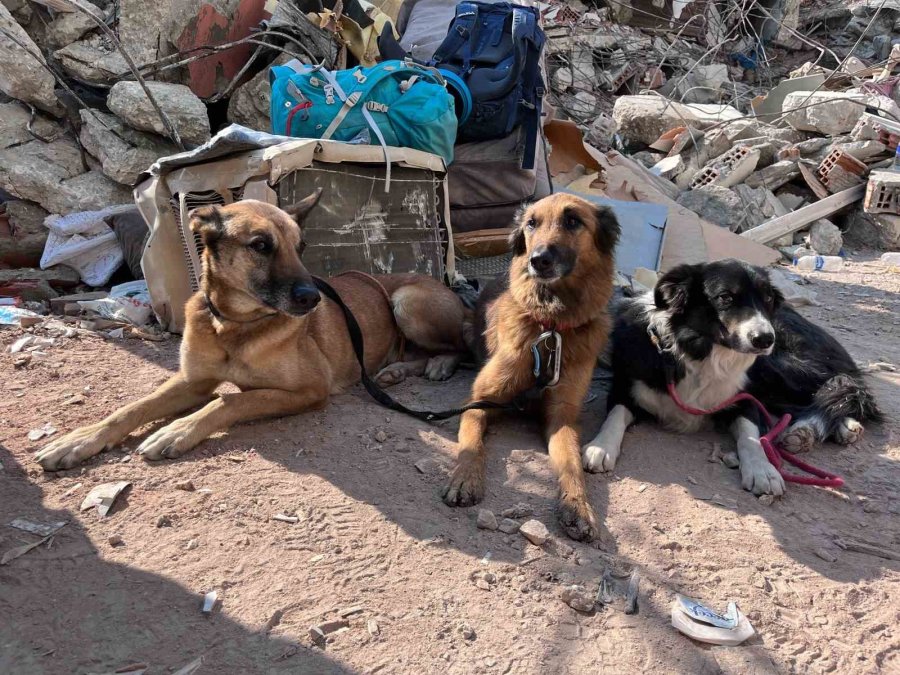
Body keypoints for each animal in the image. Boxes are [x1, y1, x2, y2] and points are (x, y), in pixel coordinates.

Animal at [37, 191, 472, 470]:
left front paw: (178, 430)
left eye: (301, 246)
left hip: (408, 302)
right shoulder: (192, 380)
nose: (313, 298)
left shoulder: (308, 390)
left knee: (461, 344)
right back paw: (397, 370)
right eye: (261, 245)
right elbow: (132, 408)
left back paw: (438, 364)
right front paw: (80, 439)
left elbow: (230, 400)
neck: (233, 325)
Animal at [442, 193, 620, 540]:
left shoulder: (562, 417)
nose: (538, 260)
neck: (550, 326)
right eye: (531, 224)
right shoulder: (479, 401)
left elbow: (572, 466)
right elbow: (471, 445)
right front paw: (465, 478)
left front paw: (578, 507)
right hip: (467, 328)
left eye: (572, 221)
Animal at [580, 258, 884, 496]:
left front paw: (762, 470)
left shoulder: (745, 399)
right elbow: (615, 416)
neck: (698, 354)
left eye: (768, 299)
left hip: (778, 368)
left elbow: (751, 437)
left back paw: (835, 425)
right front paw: (600, 446)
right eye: (725, 298)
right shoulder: (625, 389)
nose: (765, 338)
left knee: (840, 389)